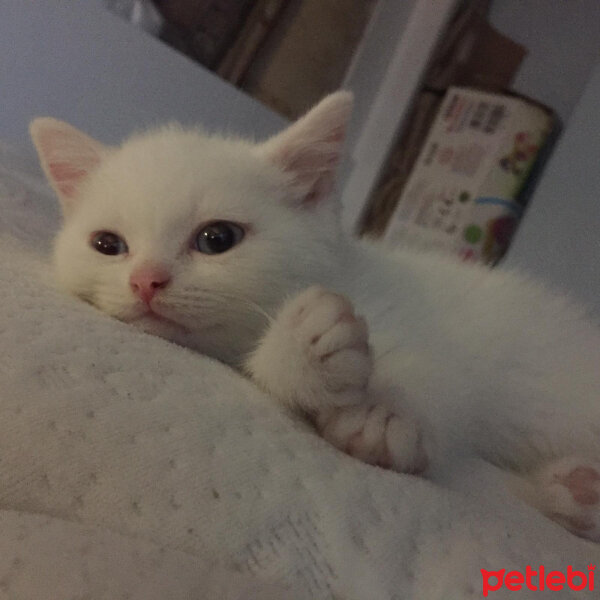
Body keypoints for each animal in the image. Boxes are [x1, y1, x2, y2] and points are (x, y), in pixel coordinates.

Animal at [30, 91, 600, 540]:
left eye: (217, 238)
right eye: (108, 244)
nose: (146, 280)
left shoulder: (425, 324)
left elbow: (441, 374)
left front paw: (382, 413)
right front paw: (304, 349)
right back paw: (578, 490)